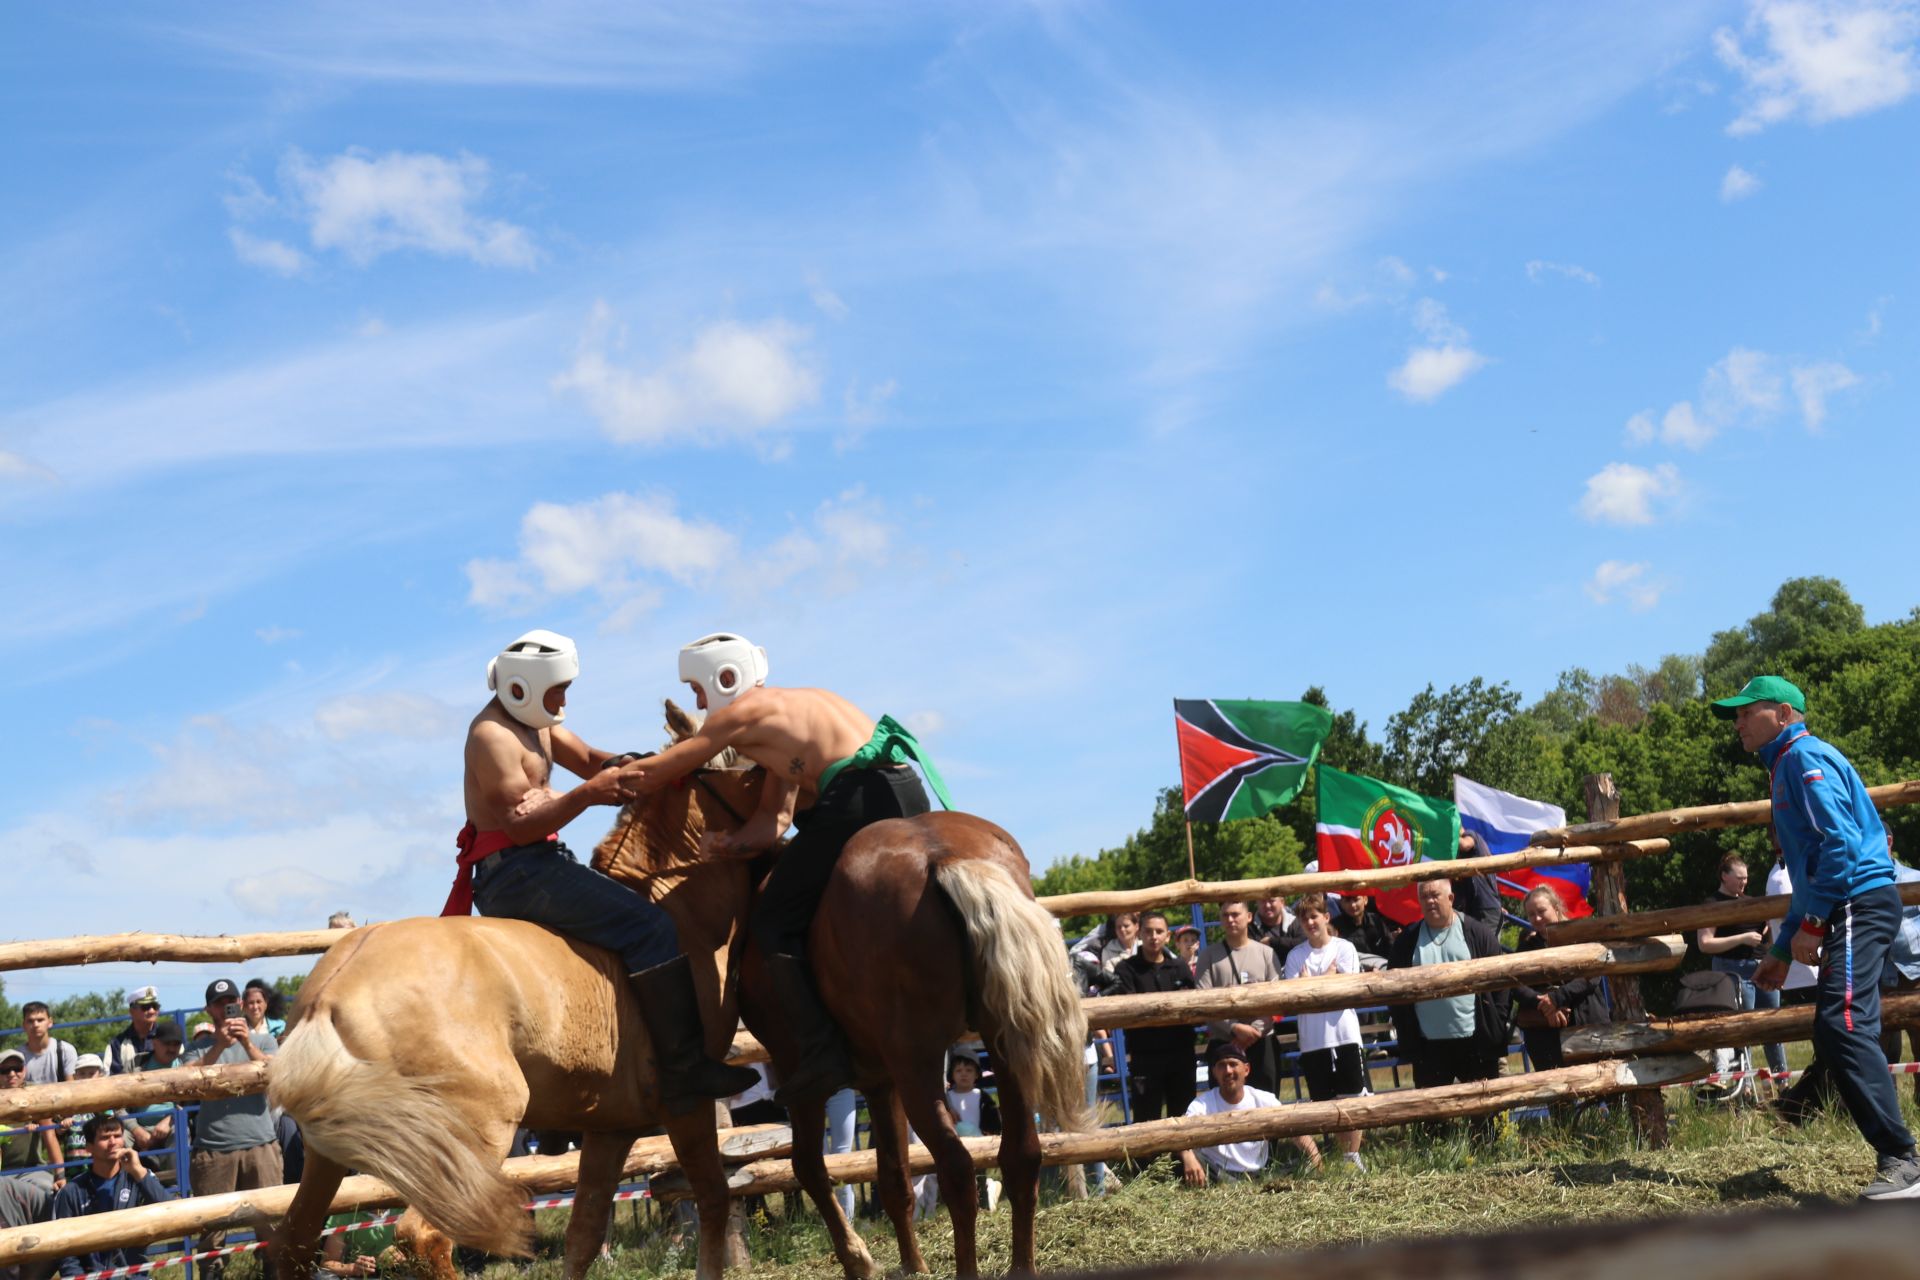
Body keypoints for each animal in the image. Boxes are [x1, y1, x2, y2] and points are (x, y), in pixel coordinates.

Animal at [272, 729, 764, 1280]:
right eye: (753, 768)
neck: (681, 915)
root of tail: (330, 995)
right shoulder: (688, 1105)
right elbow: (714, 1197)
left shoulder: (610, 1129)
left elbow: (584, 1232)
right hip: (473, 1136)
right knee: (423, 1237)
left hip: (332, 1156)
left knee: (293, 1242)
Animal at [614, 790, 1098, 1280]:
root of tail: (945, 858)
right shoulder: (880, 1082)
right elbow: (893, 1178)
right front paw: (912, 1263)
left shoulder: (798, 1072)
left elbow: (808, 1166)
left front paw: (856, 1259)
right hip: (997, 1050)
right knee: (1020, 1156)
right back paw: (1021, 1265)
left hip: (918, 1065)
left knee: (957, 1169)